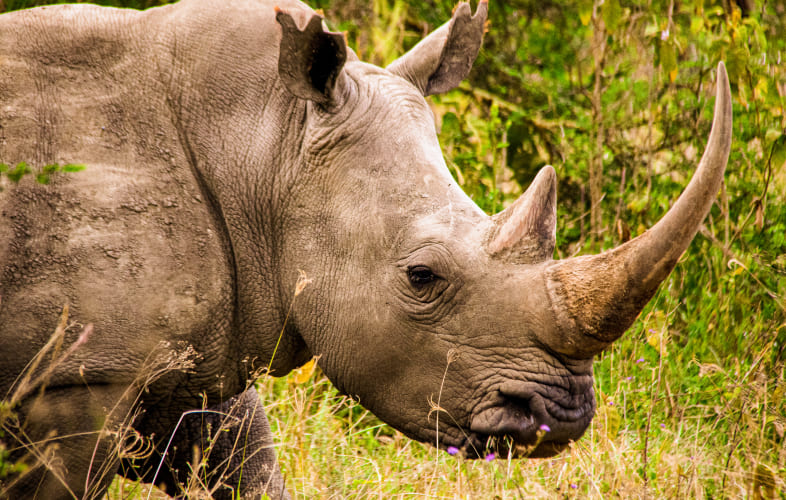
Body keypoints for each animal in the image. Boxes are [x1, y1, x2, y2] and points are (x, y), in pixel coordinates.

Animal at [0, 0, 731, 498]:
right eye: (422, 276)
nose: (565, 414)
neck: (264, 143)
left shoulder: (195, 351)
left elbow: (244, 466)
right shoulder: (79, 373)